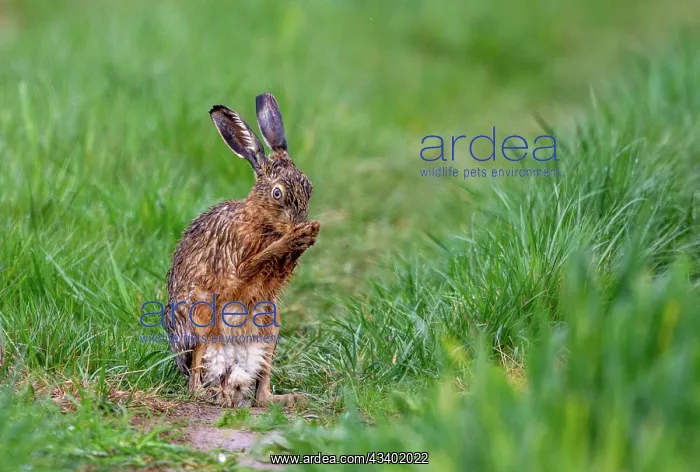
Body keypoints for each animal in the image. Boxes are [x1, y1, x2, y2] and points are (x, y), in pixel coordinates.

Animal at [163, 93, 320, 407]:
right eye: (277, 193)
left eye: (308, 187)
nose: (299, 222)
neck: (260, 219)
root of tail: (232, 376)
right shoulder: (236, 261)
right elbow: (253, 264)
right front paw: (295, 237)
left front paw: (307, 234)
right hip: (201, 321)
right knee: (195, 373)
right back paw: (210, 394)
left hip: (269, 331)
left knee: (260, 394)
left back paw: (286, 398)